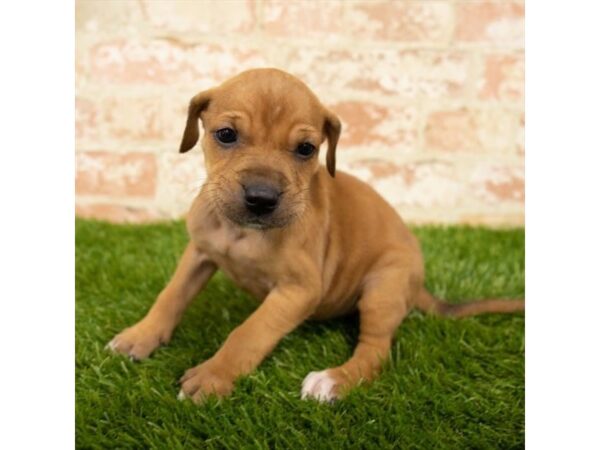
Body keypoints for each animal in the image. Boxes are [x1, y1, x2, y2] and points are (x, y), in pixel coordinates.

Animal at [108, 68, 524, 402]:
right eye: (225, 135)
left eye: (306, 149)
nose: (261, 197)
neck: (243, 233)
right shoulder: (198, 252)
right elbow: (171, 295)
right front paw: (140, 336)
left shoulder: (299, 290)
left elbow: (249, 332)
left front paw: (213, 376)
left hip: (383, 288)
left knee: (375, 351)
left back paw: (333, 381)